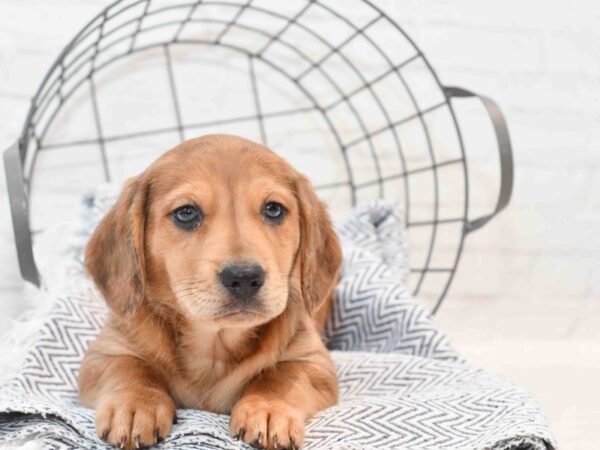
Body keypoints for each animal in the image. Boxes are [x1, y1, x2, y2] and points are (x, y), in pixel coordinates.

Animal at [79, 134, 342, 450]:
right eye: (186, 213)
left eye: (273, 209)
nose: (244, 277)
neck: (214, 343)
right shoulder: (105, 352)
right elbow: (130, 368)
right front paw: (135, 404)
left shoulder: (313, 360)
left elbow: (280, 376)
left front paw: (267, 408)